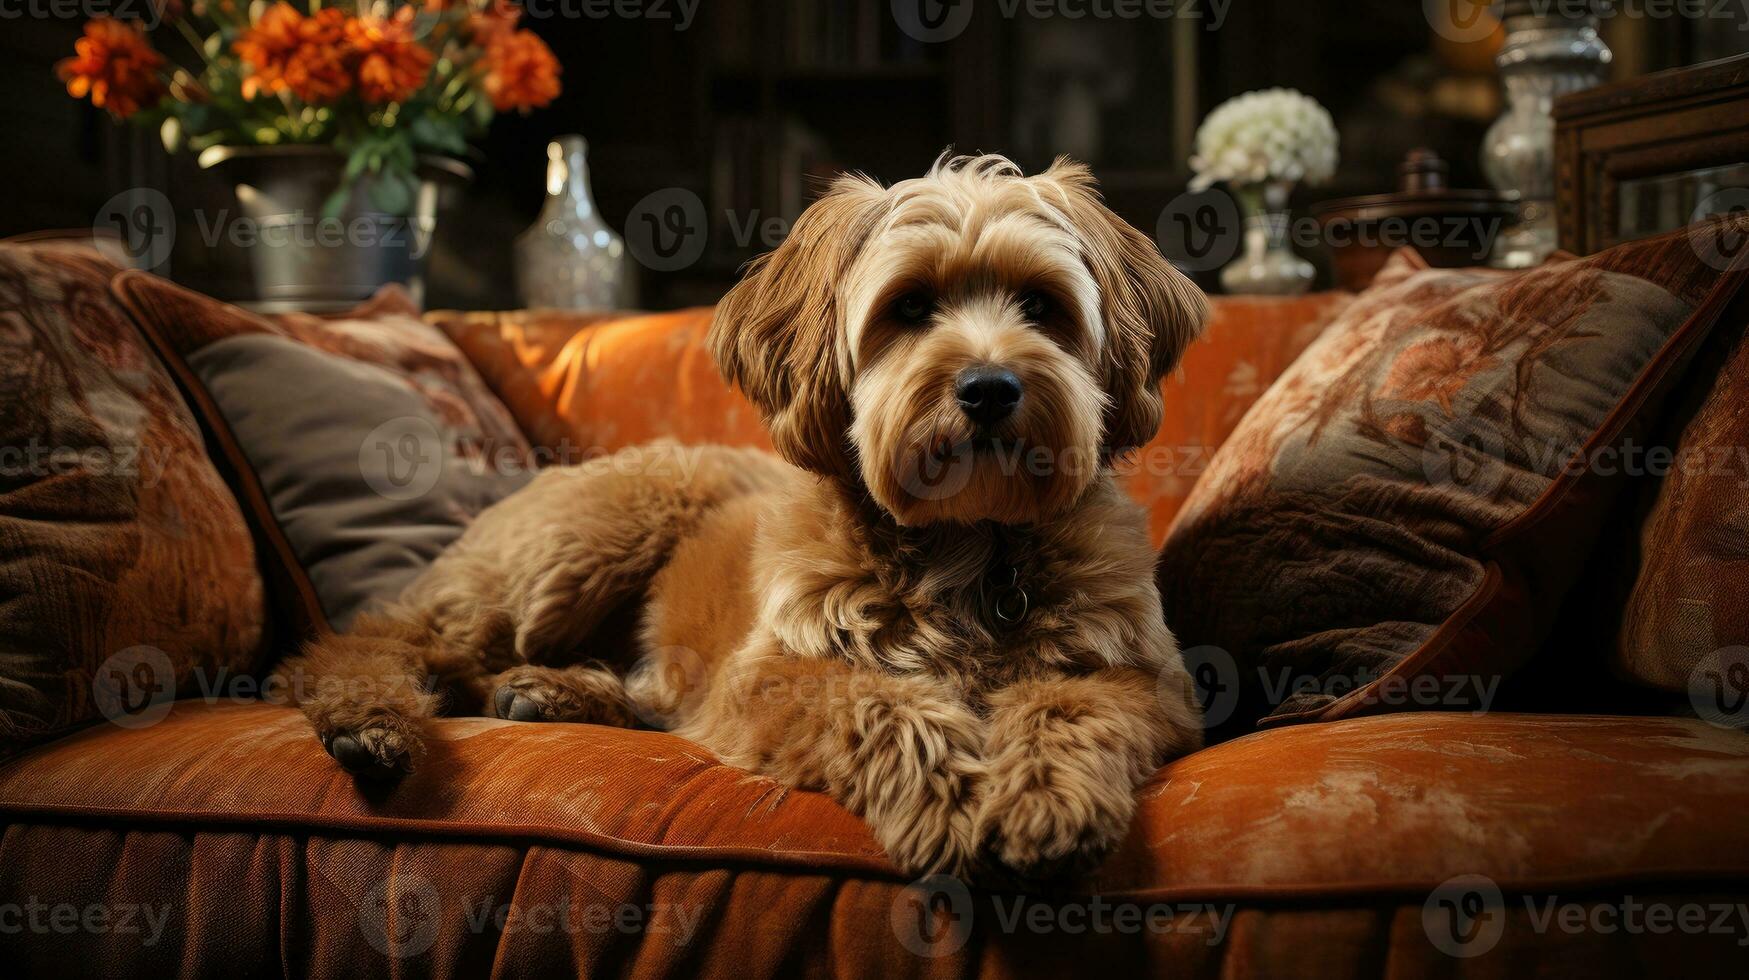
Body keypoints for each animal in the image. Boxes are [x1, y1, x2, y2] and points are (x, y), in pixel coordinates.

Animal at [290, 153, 1217, 882]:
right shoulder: (774, 672)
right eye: (911, 307)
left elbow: (1069, 704)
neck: (967, 540)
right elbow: (875, 702)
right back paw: (372, 724)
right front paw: (950, 800)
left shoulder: (1144, 678)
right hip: (576, 552)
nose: (989, 388)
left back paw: (551, 694)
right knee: (371, 644)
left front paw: (1045, 804)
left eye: (1040, 305)